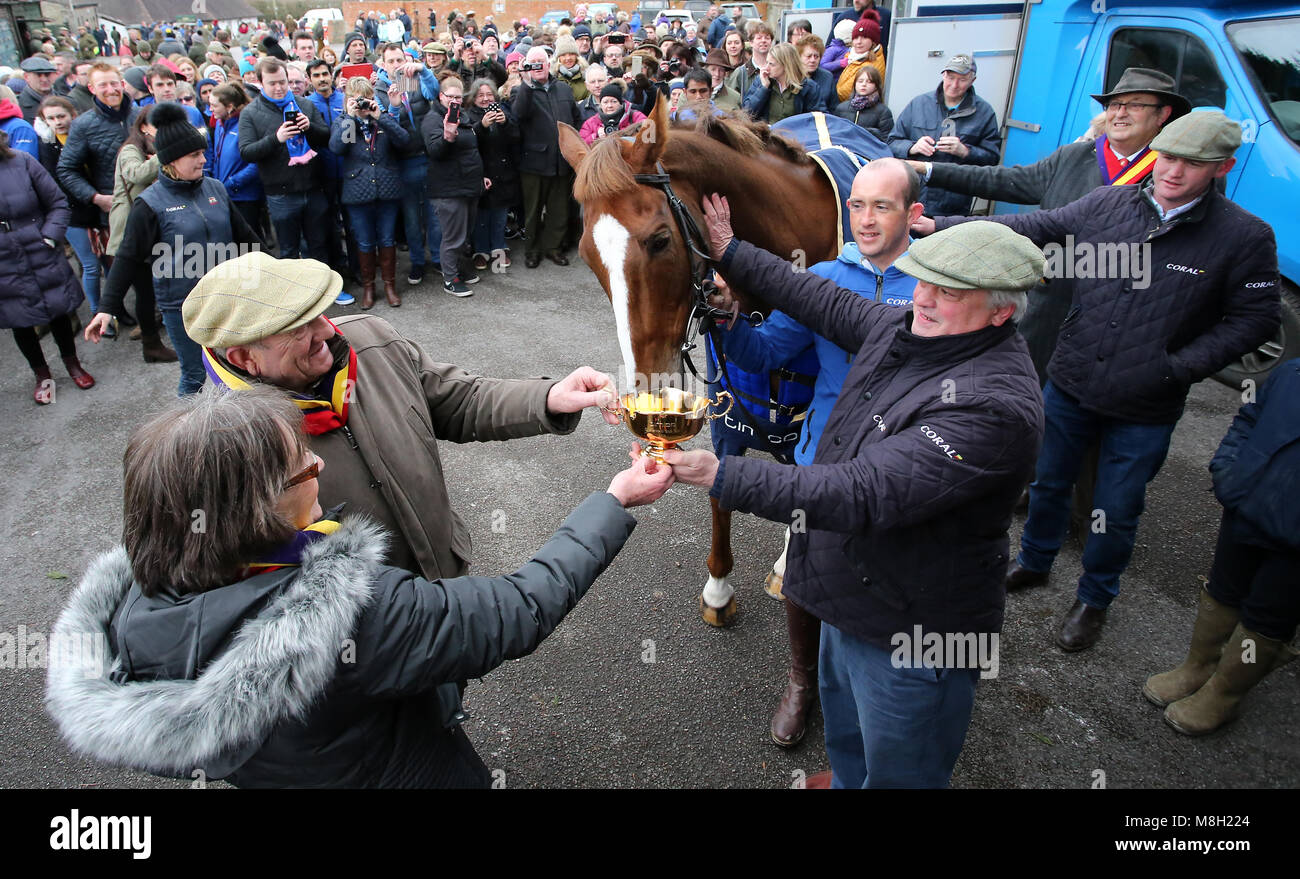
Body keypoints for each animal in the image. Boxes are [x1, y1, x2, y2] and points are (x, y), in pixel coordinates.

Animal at [559, 99, 842, 624]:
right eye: (588, 254)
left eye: (659, 240)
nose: (648, 382)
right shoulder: (731, 403)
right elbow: (721, 483)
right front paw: (718, 588)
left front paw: (785, 566)